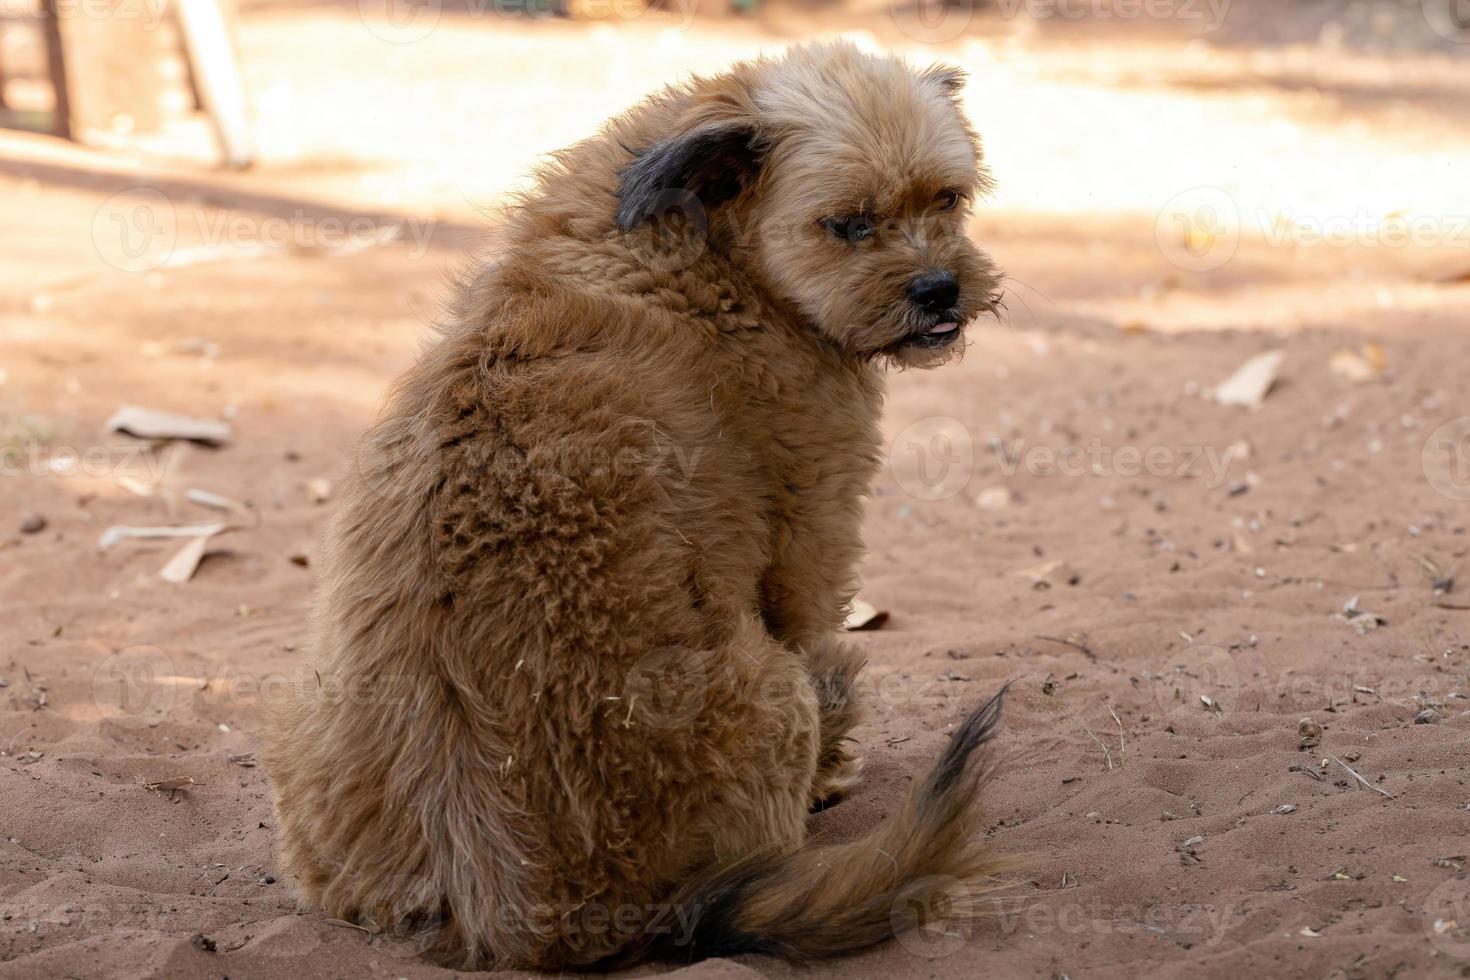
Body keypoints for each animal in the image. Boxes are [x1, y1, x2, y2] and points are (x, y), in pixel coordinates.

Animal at [264, 40, 1011, 975]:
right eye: (848, 225)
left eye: (949, 198)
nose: (941, 288)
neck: (703, 248)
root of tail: (535, 914)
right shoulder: (813, 534)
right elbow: (811, 614)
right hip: (773, 696)